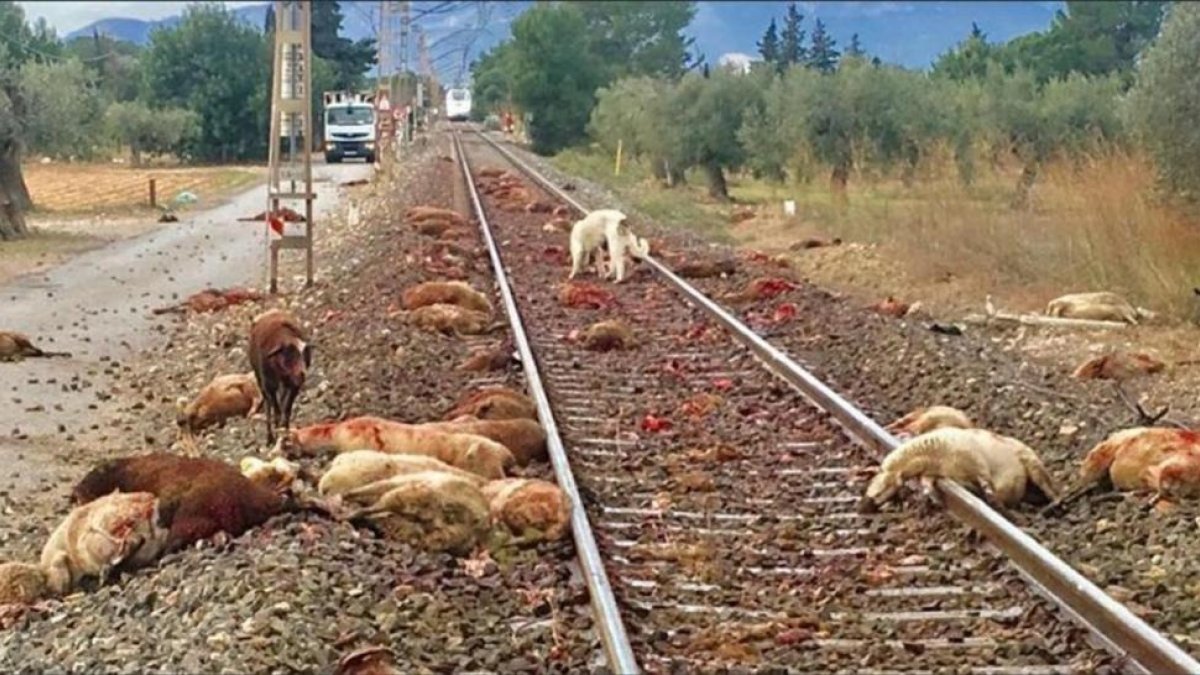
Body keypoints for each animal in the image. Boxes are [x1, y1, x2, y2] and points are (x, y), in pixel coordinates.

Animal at [247, 307, 312, 444]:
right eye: (288, 355)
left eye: (303, 354)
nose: (302, 375)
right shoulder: (269, 385)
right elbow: (276, 410)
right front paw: (277, 433)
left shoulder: (293, 386)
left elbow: (286, 409)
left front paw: (285, 432)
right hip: (261, 381)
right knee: (268, 405)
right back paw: (269, 436)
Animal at [859, 425, 1065, 509]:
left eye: (879, 492)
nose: (863, 508)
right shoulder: (936, 473)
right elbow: (927, 484)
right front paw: (932, 499)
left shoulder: (976, 462)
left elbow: (987, 484)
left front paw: (993, 501)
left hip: (1034, 466)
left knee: (1051, 489)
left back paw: (1054, 504)